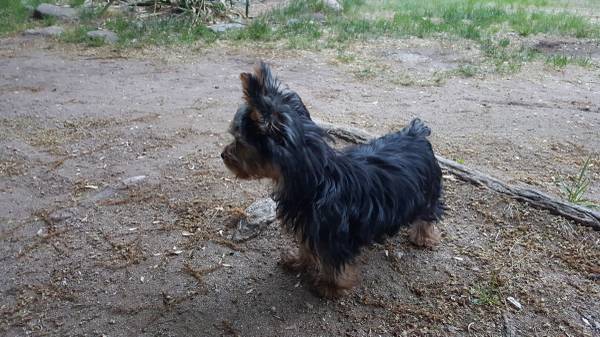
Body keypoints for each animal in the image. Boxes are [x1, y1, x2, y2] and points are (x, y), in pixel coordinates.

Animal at [223, 61, 442, 296]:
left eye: (239, 142)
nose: (223, 155)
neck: (317, 180)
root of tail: (416, 133)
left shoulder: (333, 231)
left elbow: (333, 261)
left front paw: (330, 286)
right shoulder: (309, 224)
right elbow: (306, 245)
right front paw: (299, 261)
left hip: (428, 190)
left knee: (427, 215)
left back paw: (423, 237)